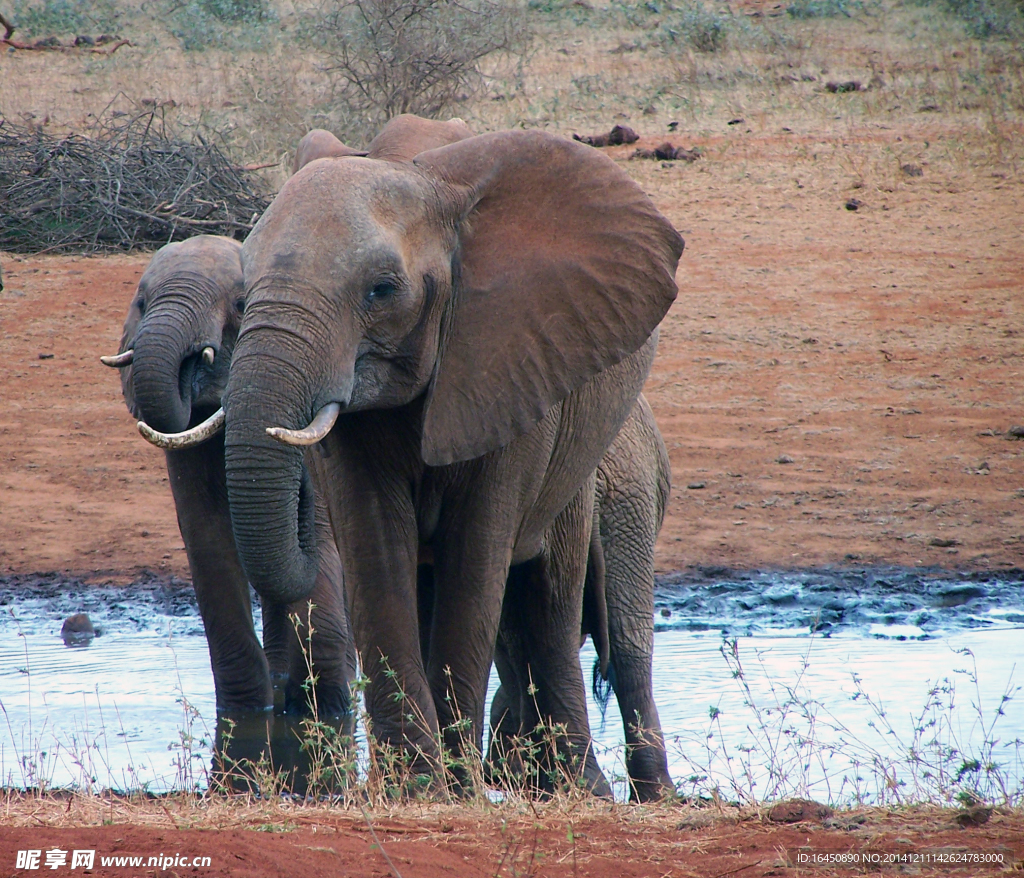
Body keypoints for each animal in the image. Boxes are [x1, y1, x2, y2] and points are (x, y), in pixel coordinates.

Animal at [99, 236, 356, 758]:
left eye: (240, 305)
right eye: (141, 303)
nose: (195, 362)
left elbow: (320, 540)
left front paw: (327, 714)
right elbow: (209, 539)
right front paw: (246, 714)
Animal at [221, 119, 688, 790]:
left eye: (382, 290)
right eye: (241, 292)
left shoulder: (513, 355)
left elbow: (477, 555)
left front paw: (454, 787)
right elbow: (375, 549)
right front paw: (412, 787)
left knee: (558, 602)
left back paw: (584, 789)